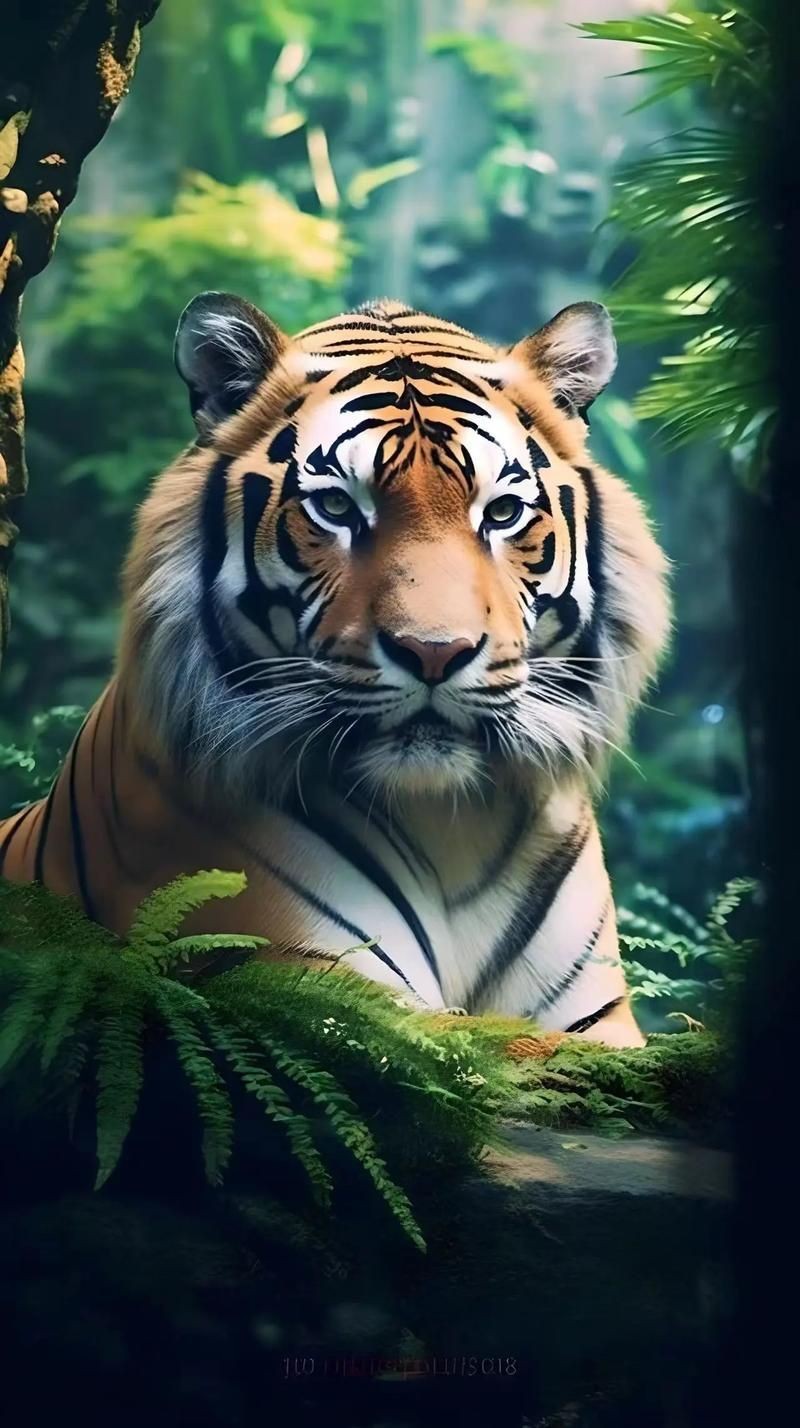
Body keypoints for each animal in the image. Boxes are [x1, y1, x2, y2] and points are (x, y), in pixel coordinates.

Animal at [0, 293, 670, 1046]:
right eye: (337, 507)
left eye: (501, 512)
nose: (434, 652)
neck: (451, 824)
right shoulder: (320, 984)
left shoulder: (599, 1022)